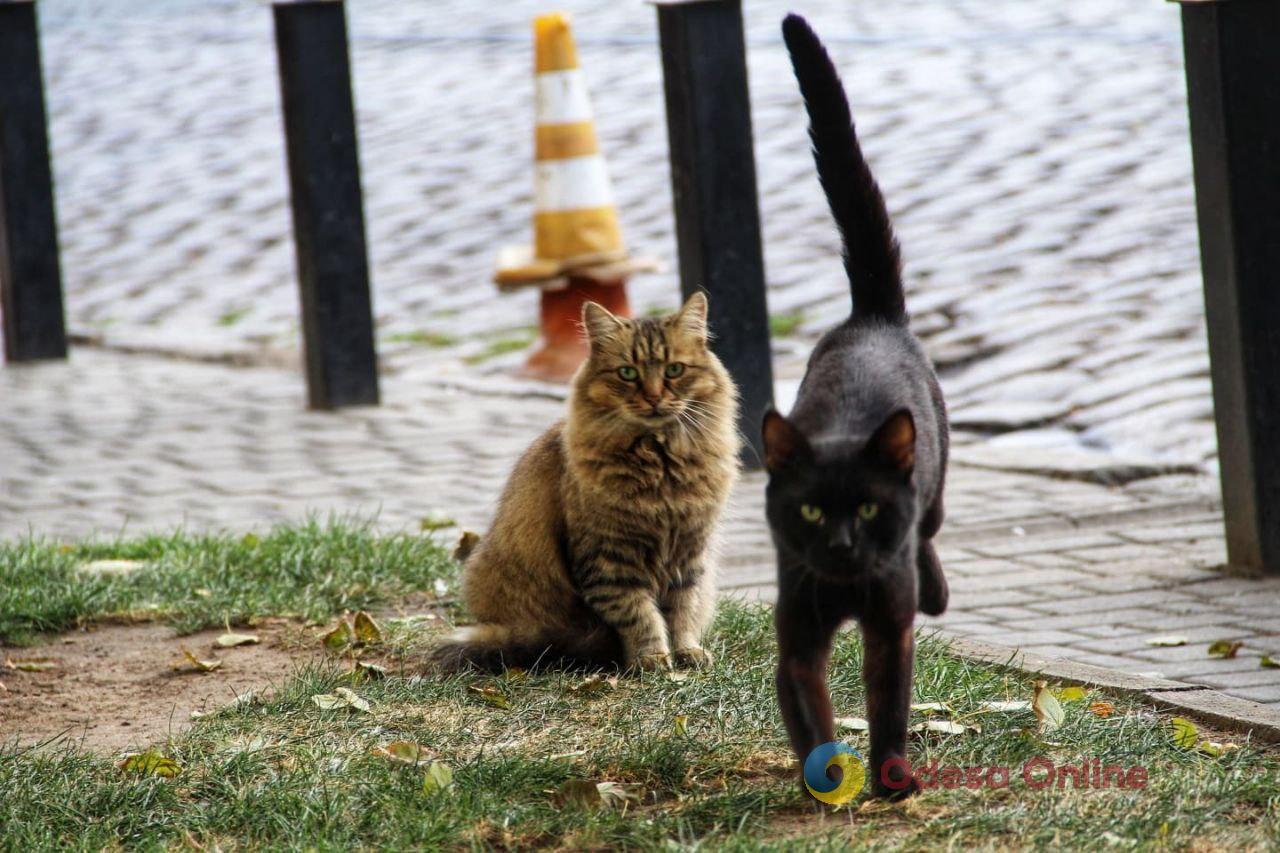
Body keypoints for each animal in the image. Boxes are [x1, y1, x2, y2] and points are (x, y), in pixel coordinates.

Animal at [432, 292, 742, 671]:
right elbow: (640, 615)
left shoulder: (688, 551)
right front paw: (652, 658)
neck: (660, 462)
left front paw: (686, 652)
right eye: (628, 373)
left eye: (674, 370)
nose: (654, 397)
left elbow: (682, 612)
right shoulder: (608, 559)